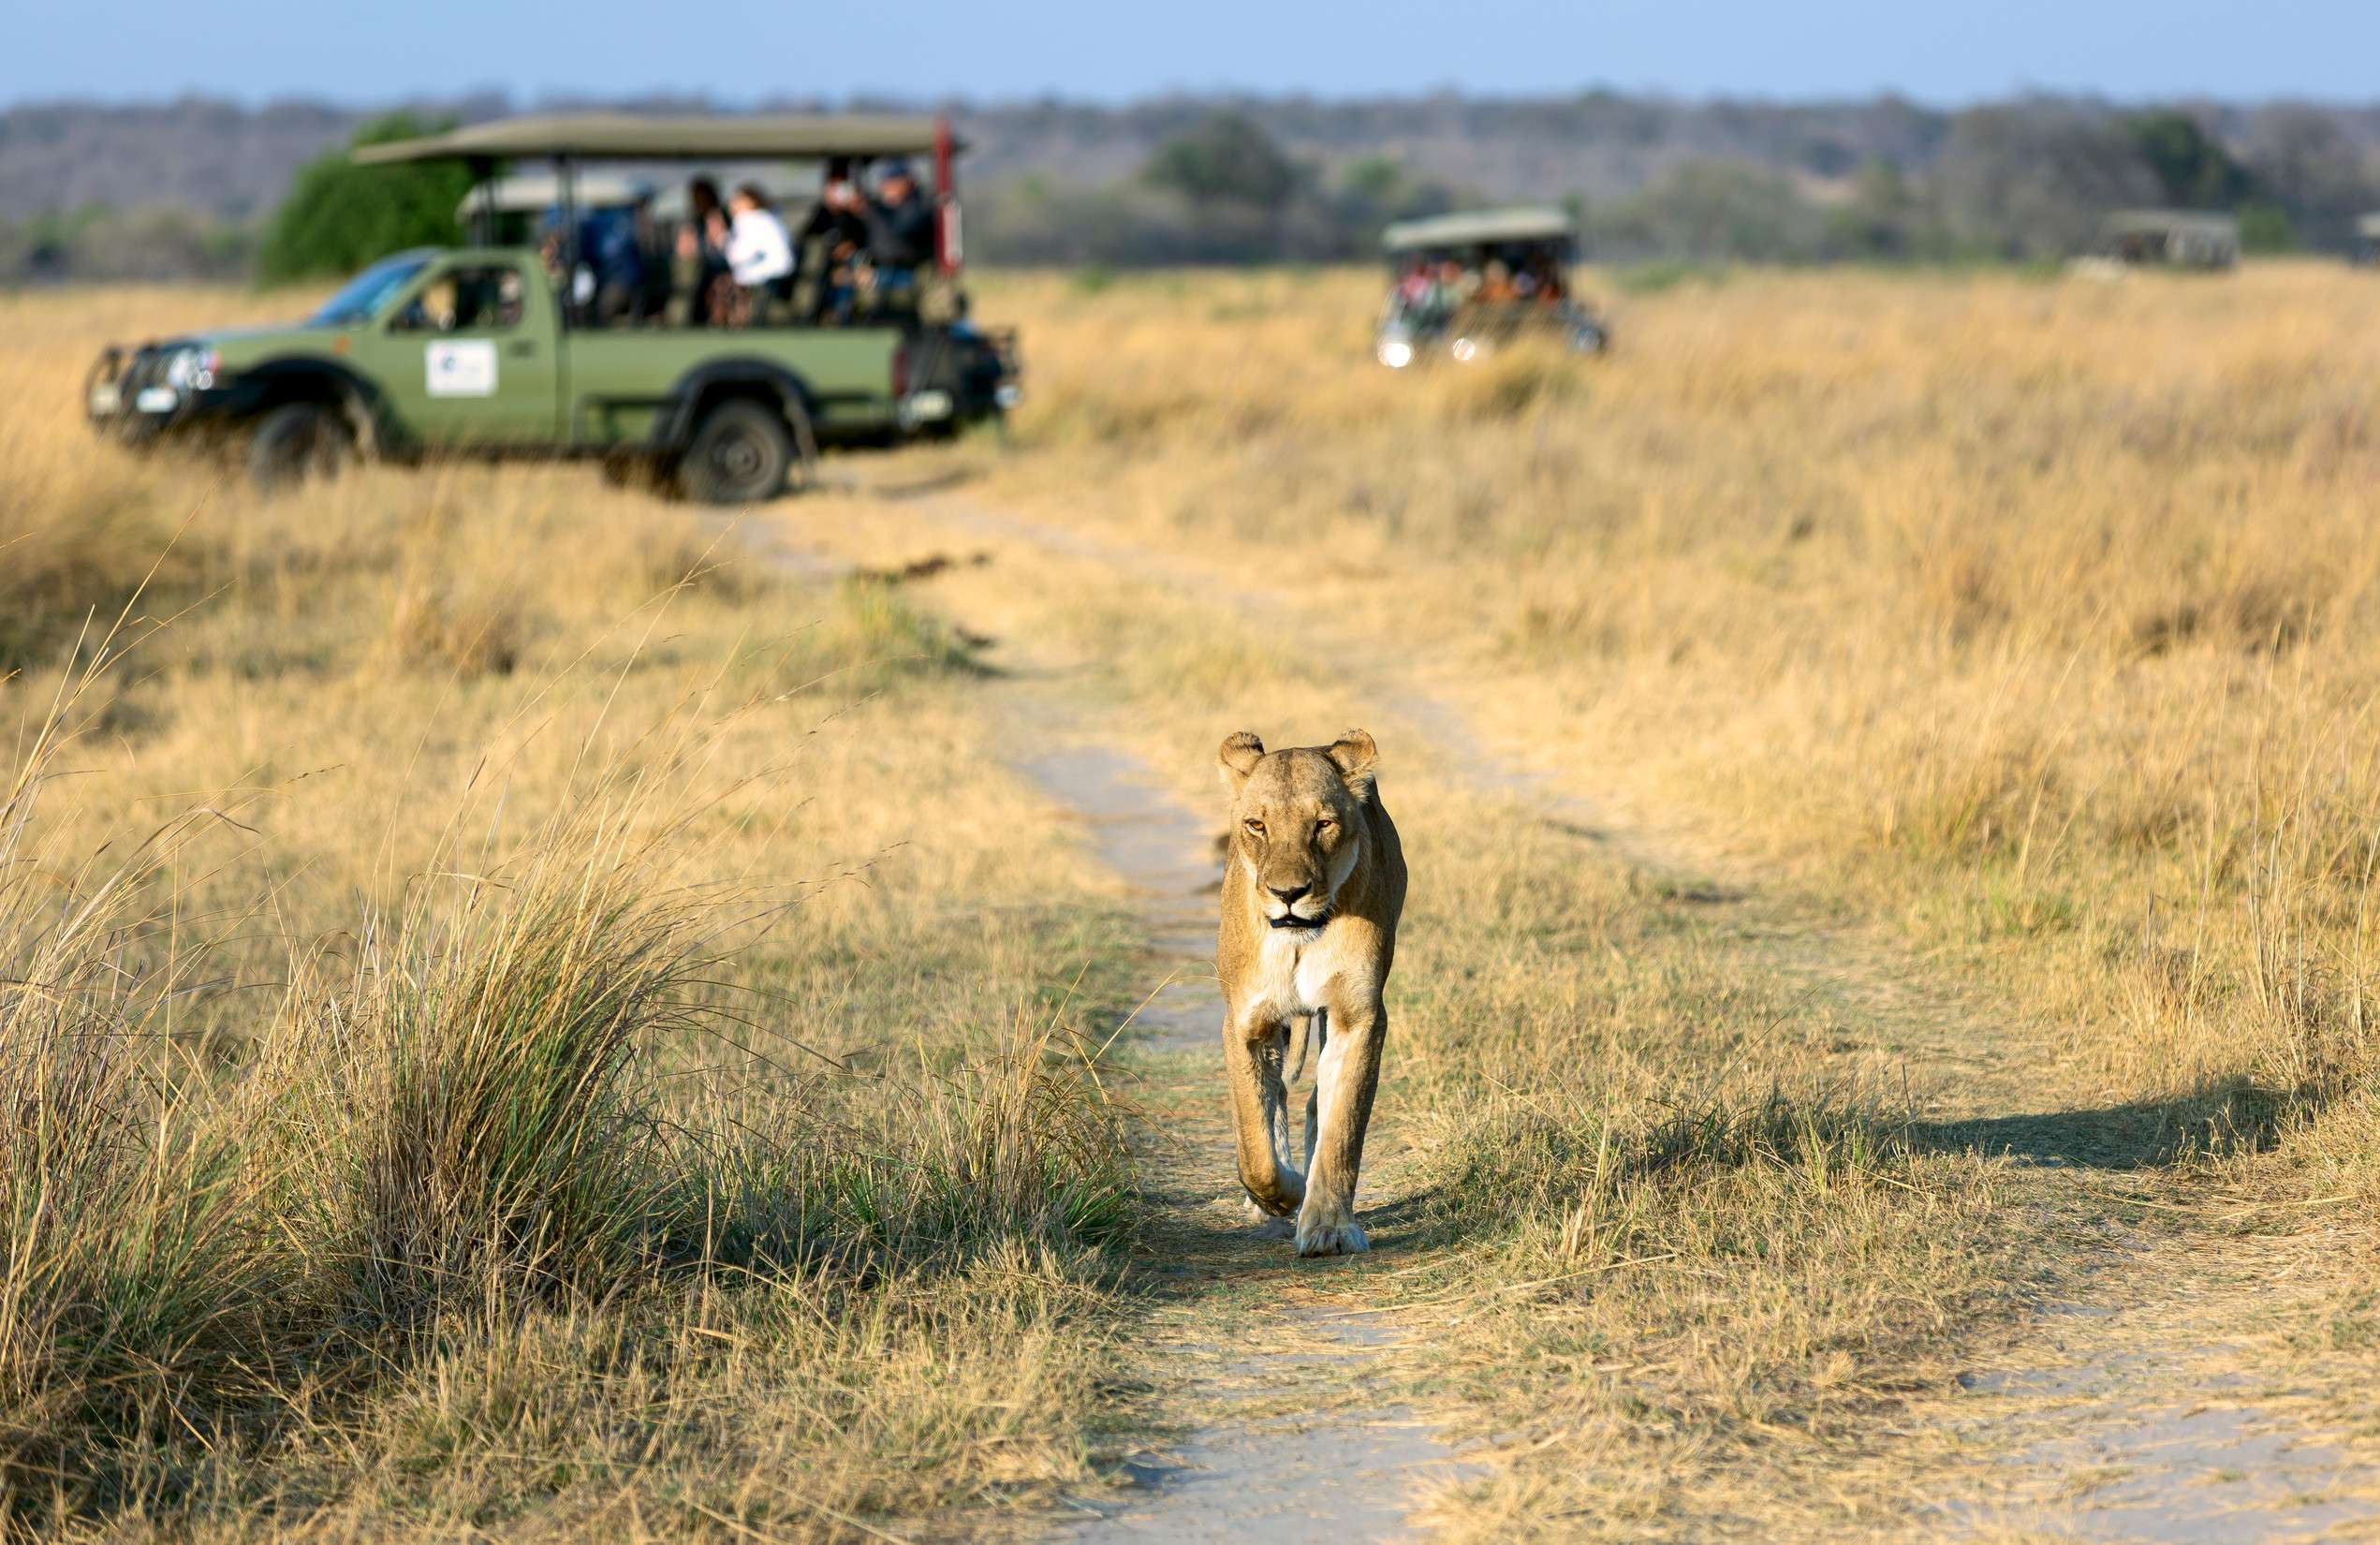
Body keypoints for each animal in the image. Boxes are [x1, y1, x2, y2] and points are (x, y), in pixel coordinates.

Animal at [1214, 728, 1407, 1256]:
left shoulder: (1357, 1016)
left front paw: (1328, 1228)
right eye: (1257, 826)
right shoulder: (1247, 1021)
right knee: (1277, 1095)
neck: (1299, 942)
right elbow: (1253, 1142)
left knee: (1318, 1104)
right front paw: (1280, 1196)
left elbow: (1342, 1126)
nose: (1288, 894)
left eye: (1323, 824)